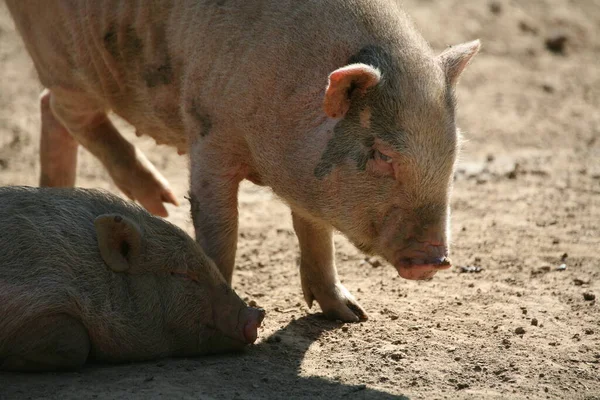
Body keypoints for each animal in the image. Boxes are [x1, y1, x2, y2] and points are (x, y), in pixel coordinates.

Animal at [4, 0, 480, 322]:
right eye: (382, 154)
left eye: (454, 150)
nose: (436, 258)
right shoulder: (209, 134)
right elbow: (221, 229)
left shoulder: (305, 179)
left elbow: (315, 233)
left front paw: (351, 314)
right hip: (62, 59)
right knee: (67, 111)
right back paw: (161, 202)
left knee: (51, 110)